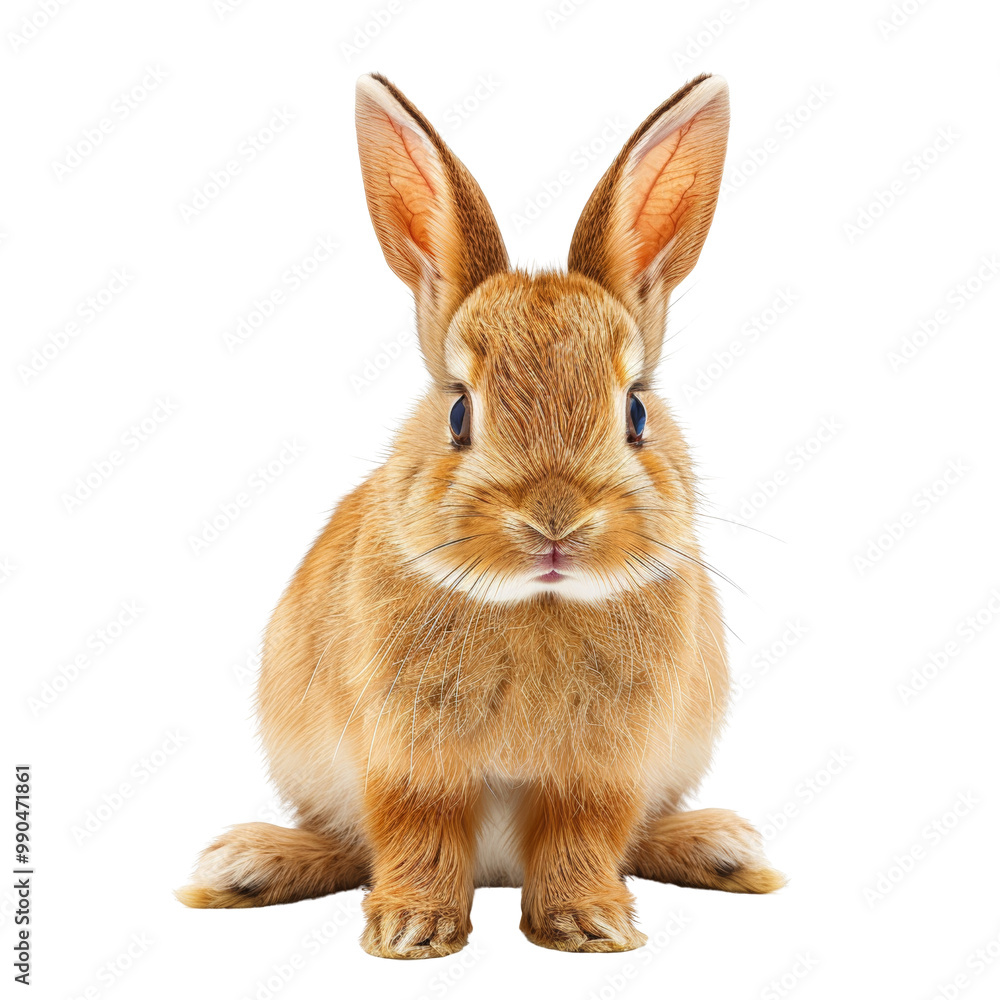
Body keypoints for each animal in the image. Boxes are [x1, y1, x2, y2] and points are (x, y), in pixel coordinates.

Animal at [176, 71, 785, 958]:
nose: (555, 520)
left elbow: (584, 837)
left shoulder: (604, 769)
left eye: (636, 413)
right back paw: (244, 864)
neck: (537, 603)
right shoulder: (407, 758)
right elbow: (416, 832)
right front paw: (410, 932)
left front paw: (589, 925)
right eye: (460, 412)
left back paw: (726, 848)